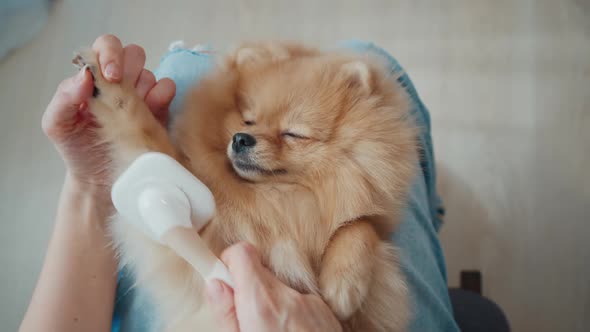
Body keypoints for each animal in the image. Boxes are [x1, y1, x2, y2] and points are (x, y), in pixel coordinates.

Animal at [73, 42, 416, 332]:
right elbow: (139, 125)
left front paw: (343, 284)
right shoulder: (203, 224)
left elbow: (361, 225)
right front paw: (108, 80)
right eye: (248, 120)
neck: (278, 200)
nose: (240, 138)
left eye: (293, 133)